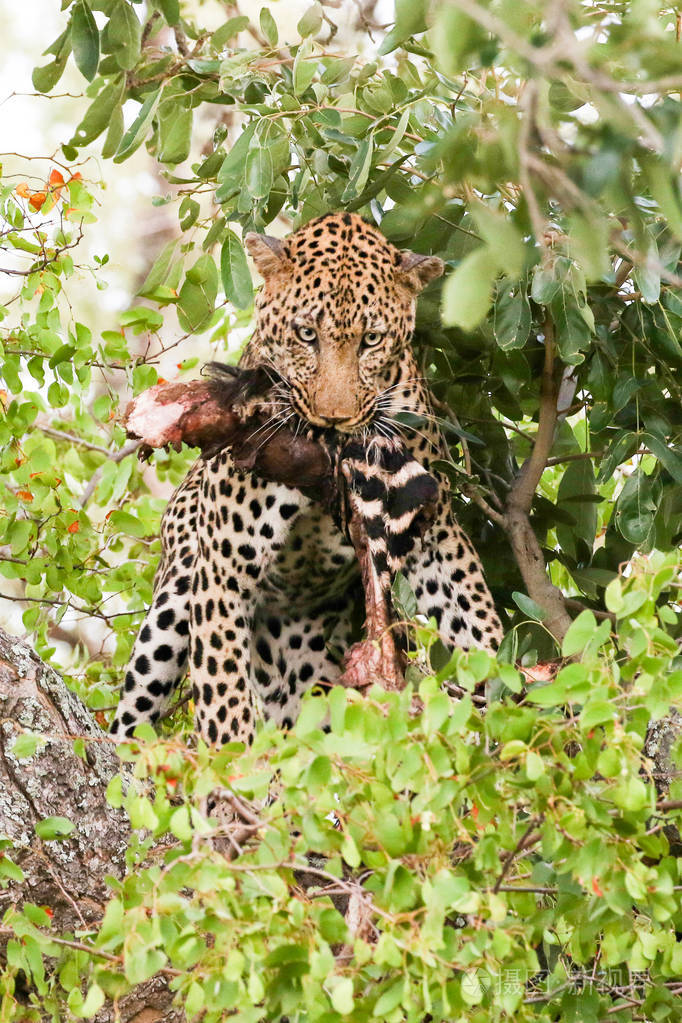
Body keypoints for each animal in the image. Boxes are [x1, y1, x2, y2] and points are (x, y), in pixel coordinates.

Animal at [111, 211, 505, 748]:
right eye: (305, 334)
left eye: (371, 340)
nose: (333, 419)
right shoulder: (224, 564)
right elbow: (223, 697)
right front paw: (228, 770)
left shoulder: (436, 528)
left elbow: (475, 619)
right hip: (175, 589)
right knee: (128, 721)